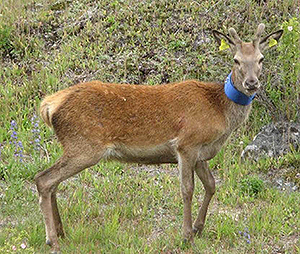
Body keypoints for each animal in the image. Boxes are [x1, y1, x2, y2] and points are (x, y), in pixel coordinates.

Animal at [35, 23, 284, 252]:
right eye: (236, 60)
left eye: (261, 59)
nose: (251, 83)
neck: (219, 111)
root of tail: (48, 106)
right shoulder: (186, 144)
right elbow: (187, 189)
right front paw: (187, 236)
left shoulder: (201, 154)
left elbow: (211, 185)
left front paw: (198, 227)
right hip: (84, 146)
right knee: (44, 179)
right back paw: (52, 240)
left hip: (74, 147)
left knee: (52, 182)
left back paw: (60, 230)